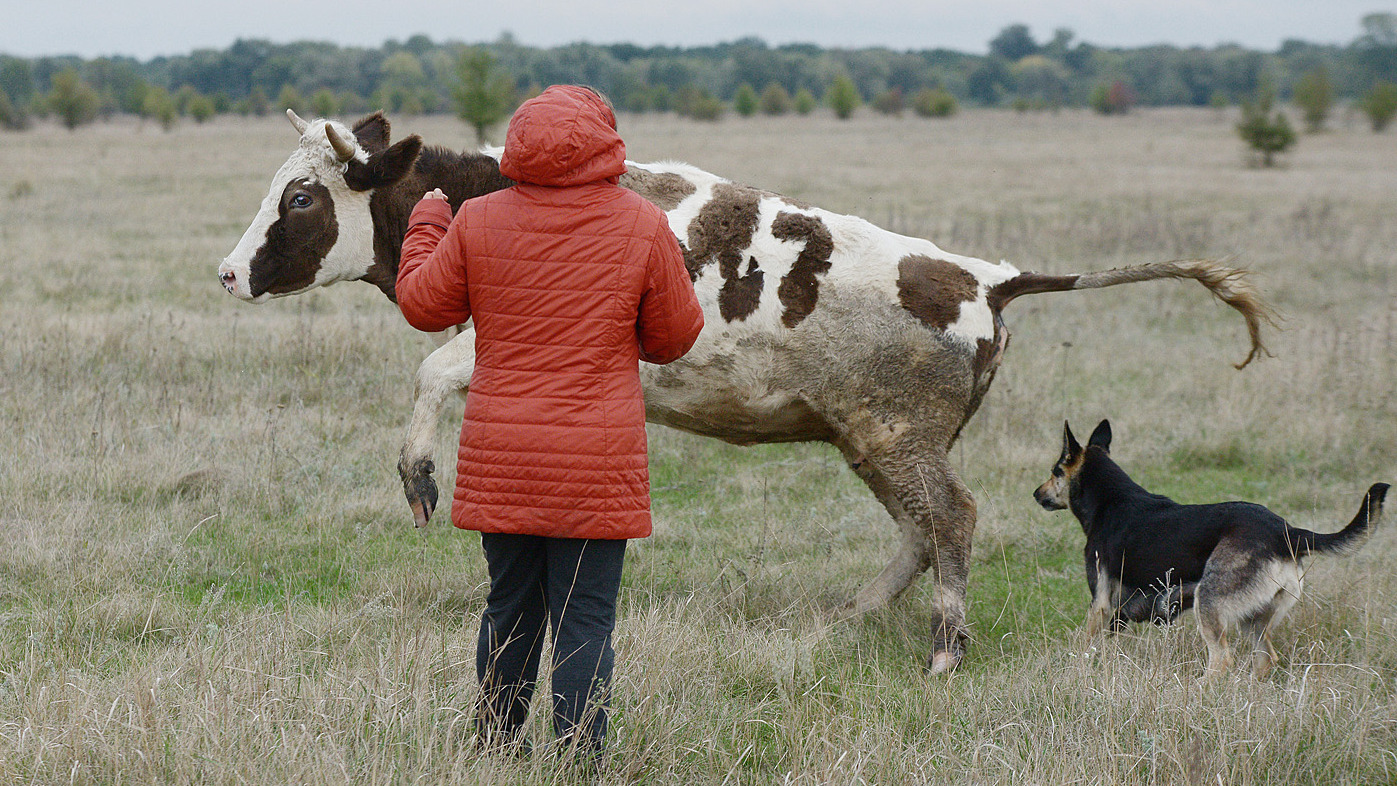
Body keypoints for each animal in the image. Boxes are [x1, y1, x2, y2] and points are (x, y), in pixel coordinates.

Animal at [220, 108, 1279, 675]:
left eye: (302, 197)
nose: (228, 273)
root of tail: (988, 278)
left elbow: (433, 371)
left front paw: (419, 477)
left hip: (893, 433)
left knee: (952, 518)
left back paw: (944, 645)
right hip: (873, 438)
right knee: (918, 529)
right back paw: (852, 618)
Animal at [1033, 421, 1380, 678]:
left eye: (1055, 471)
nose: (1036, 493)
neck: (1110, 499)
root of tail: (1287, 533)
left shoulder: (1101, 601)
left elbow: (1084, 644)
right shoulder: (1119, 613)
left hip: (1209, 601)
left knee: (1222, 659)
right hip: (1254, 618)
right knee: (1265, 657)